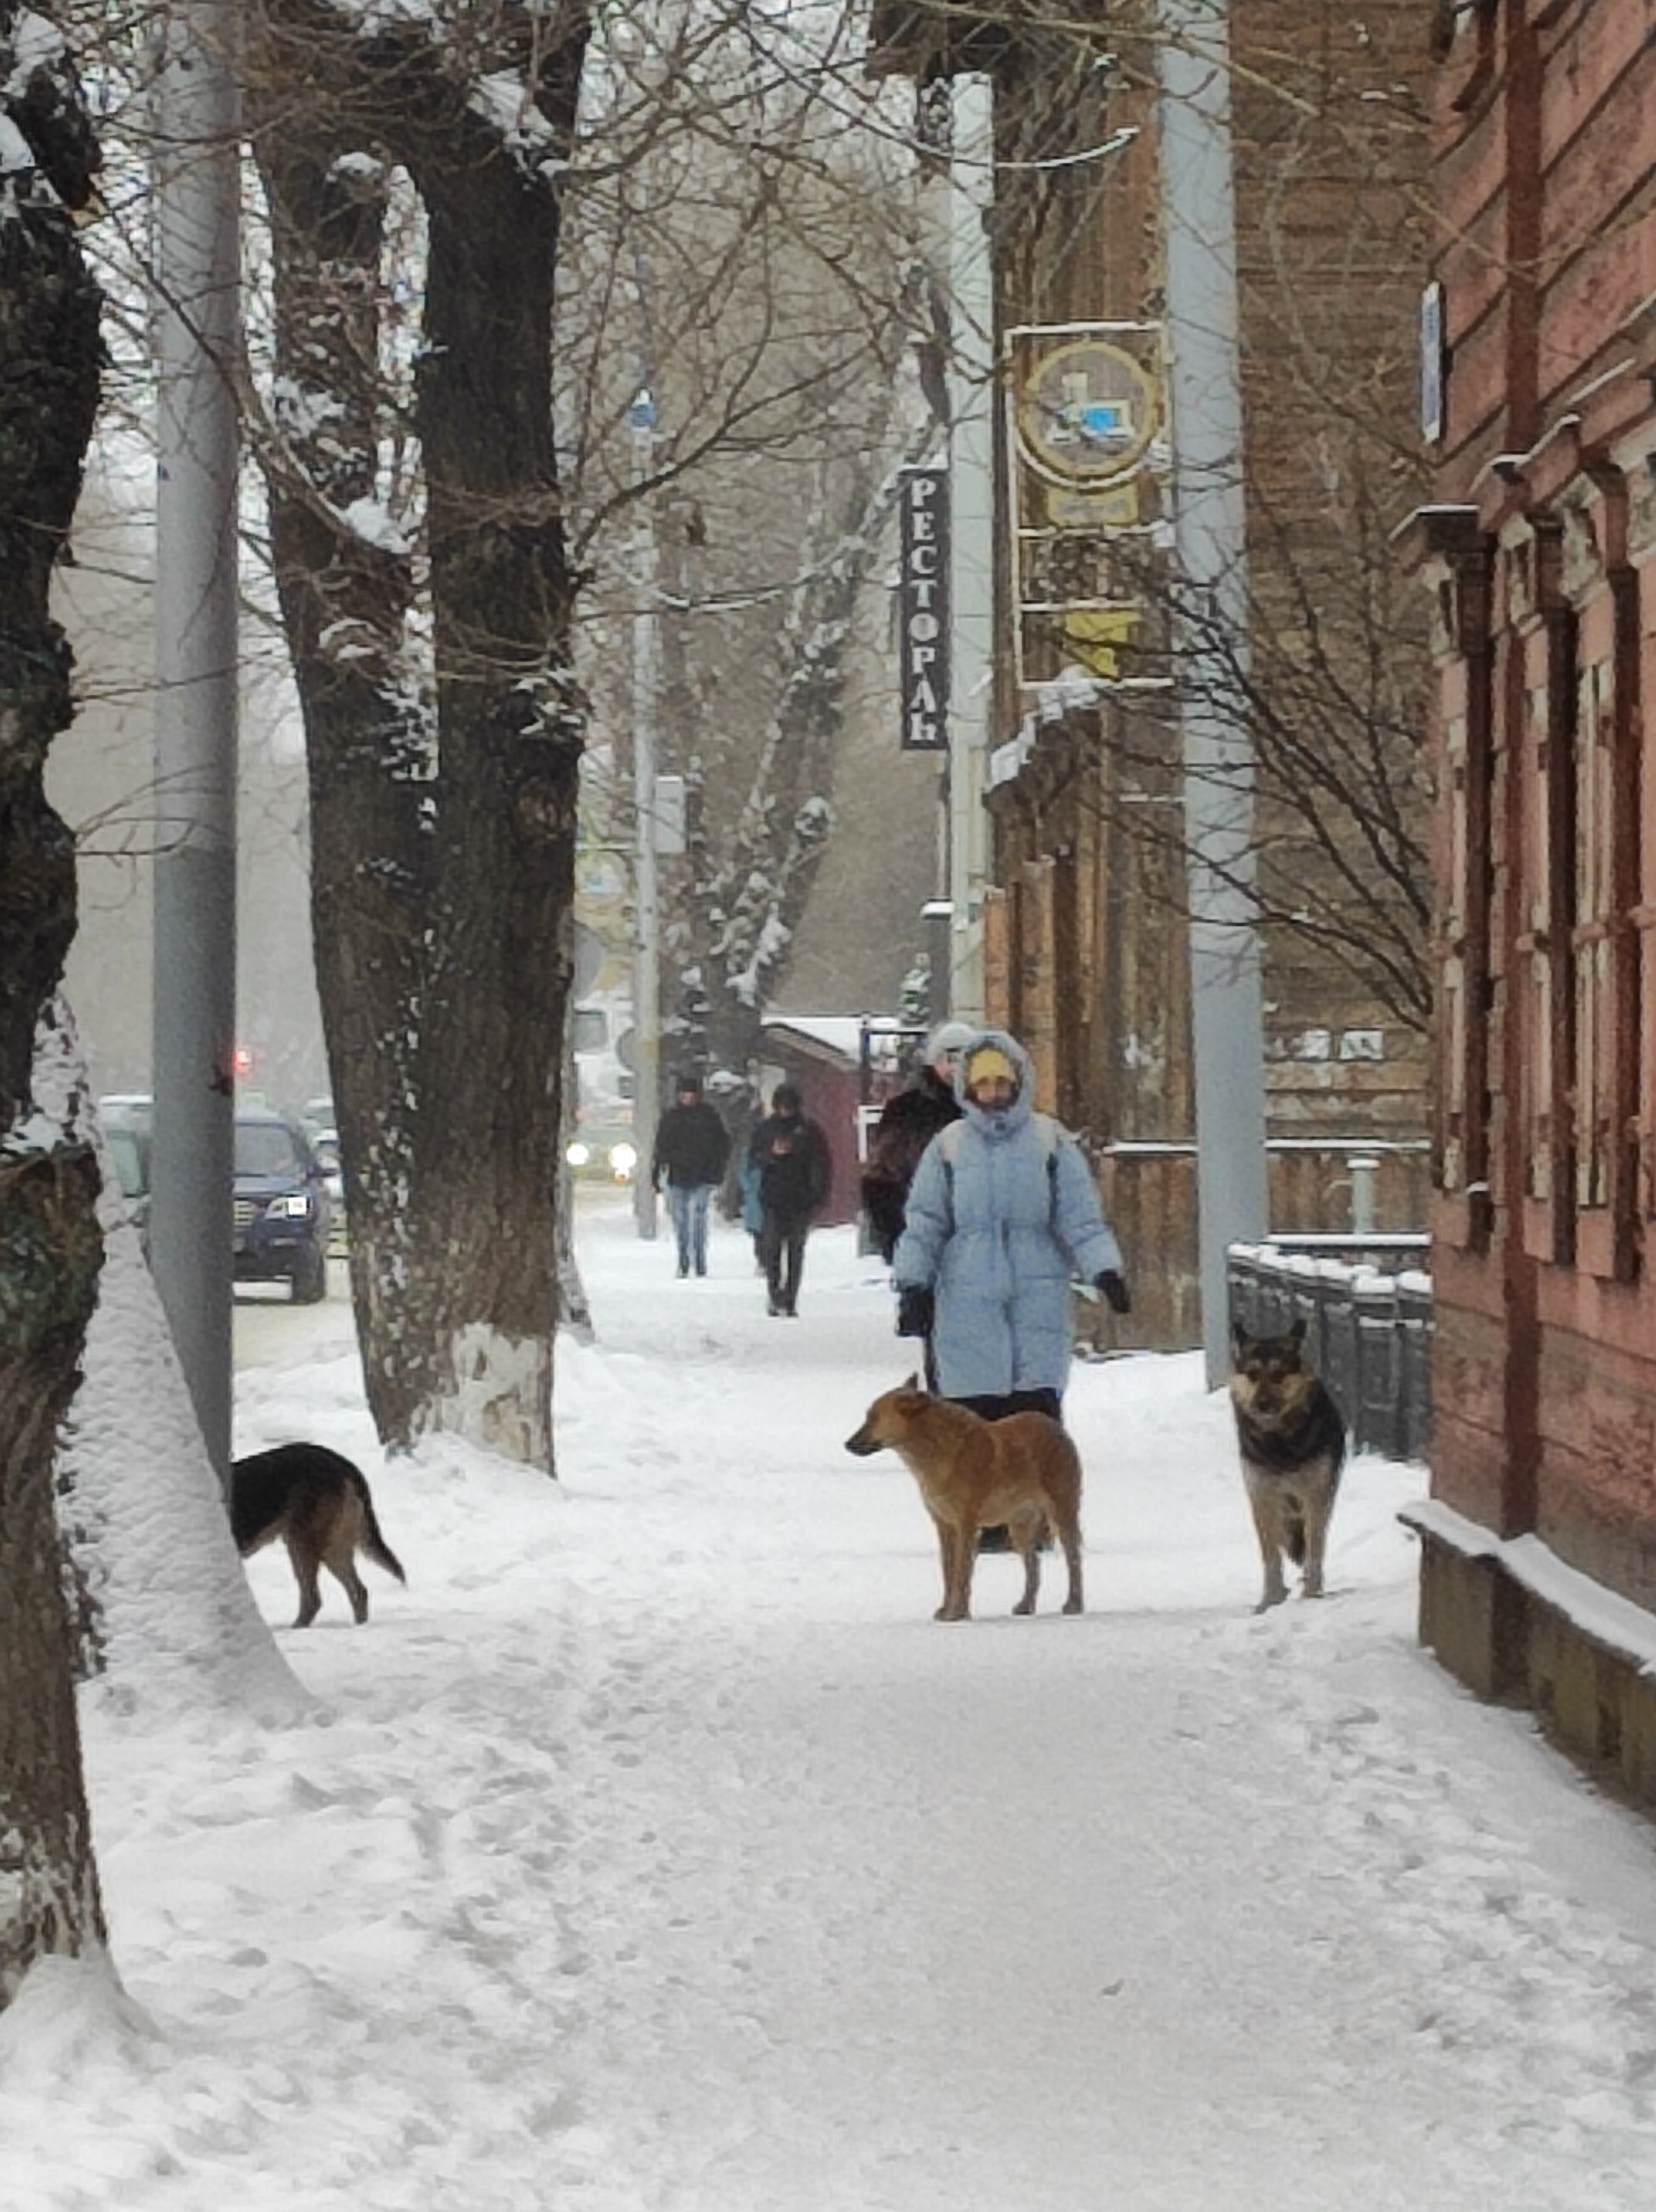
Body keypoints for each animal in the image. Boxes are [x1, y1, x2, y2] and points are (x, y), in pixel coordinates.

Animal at [230, 1442, 409, 1637]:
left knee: (314, 1598)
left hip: (304, 1545)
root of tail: (344, 1464)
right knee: (358, 1592)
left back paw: (297, 1630)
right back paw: (359, 1627)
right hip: (329, 1549)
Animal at [840, 1380, 1083, 1627]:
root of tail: (1056, 1427)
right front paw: (951, 1610)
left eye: (873, 1417)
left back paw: (1074, 1604)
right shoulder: (945, 1526)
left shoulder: (966, 1525)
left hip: (1062, 1512)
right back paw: (1026, 1605)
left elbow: (961, 1573)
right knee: (1033, 1565)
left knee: (1073, 1559)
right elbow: (949, 1572)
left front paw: (956, 1613)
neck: (942, 1452)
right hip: (1020, 1529)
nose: (847, 1444)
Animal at [1229, 1309, 1344, 1610]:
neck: (1279, 1441)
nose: (1262, 1405)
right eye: (1252, 1374)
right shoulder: (1261, 1494)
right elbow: (1270, 1553)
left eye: (1279, 1374)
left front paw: (1312, 1593)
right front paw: (1271, 1599)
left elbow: (1314, 1547)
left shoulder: (1315, 1493)